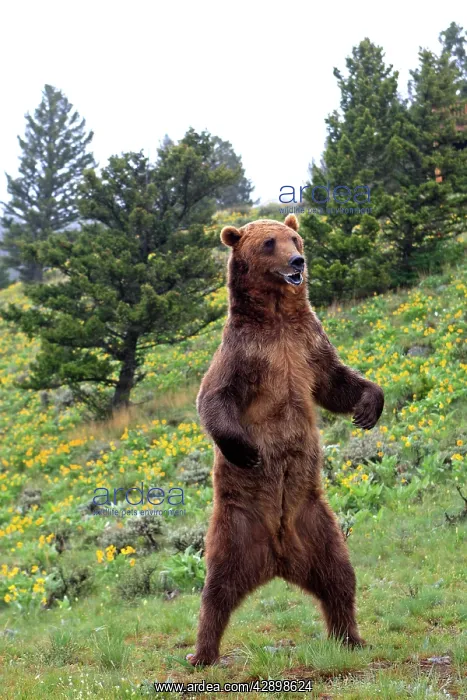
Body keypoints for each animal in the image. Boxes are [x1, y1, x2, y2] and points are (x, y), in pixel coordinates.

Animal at [187, 214, 384, 666]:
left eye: (295, 238)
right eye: (268, 243)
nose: (298, 261)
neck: (276, 318)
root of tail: (276, 558)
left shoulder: (308, 344)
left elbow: (335, 382)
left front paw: (369, 407)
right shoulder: (245, 354)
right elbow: (214, 398)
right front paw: (246, 450)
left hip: (317, 524)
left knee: (339, 576)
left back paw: (350, 636)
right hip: (235, 528)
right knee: (216, 590)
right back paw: (202, 652)